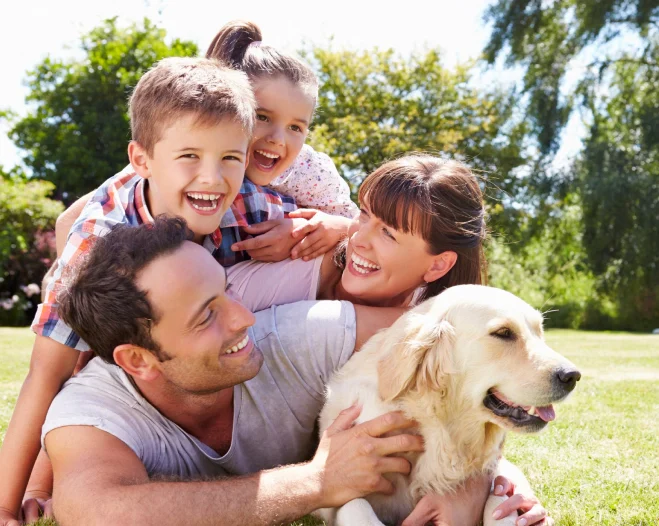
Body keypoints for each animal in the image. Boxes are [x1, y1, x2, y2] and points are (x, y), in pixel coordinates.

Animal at [318, 286, 580, 524]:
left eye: (539, 332)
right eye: (504, 332)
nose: (572, 376)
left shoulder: (496, 477)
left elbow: (500, 499)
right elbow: (358, 507)